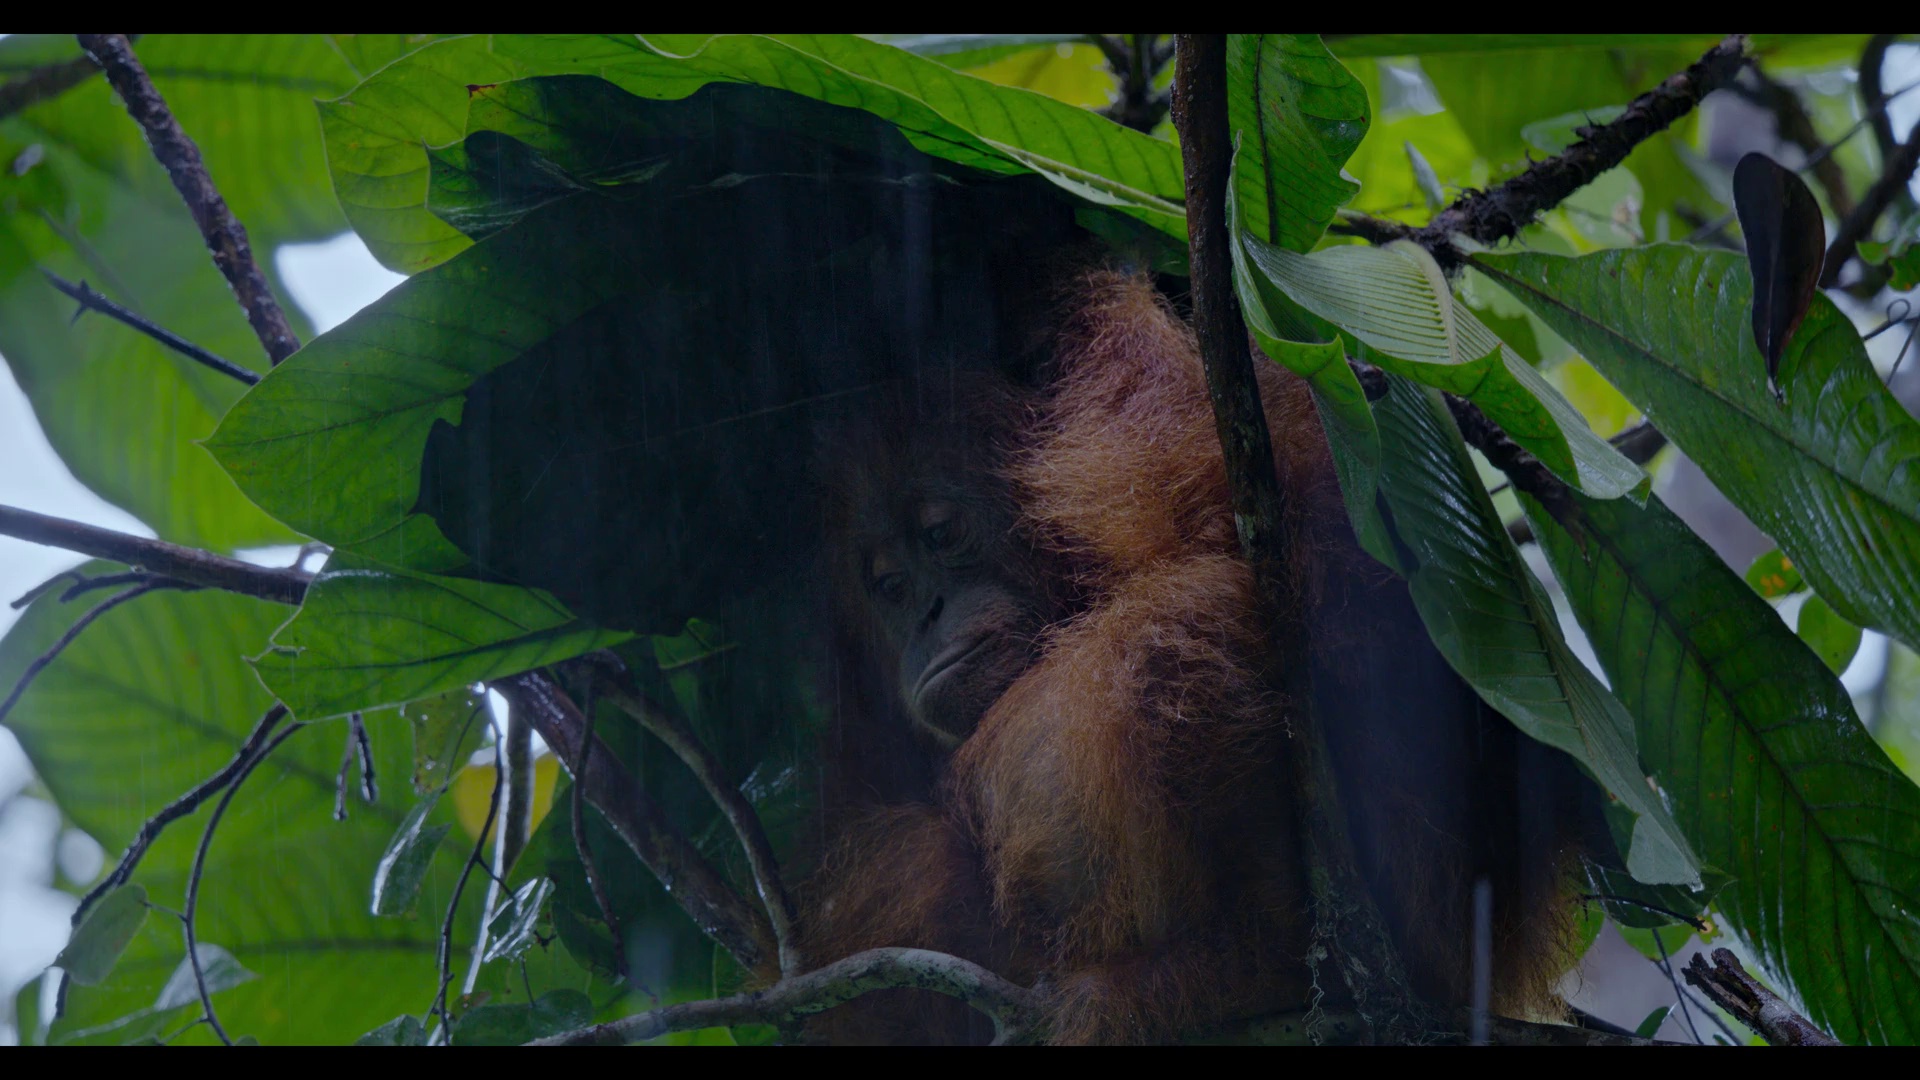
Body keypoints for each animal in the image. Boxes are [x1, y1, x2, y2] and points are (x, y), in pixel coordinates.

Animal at [796, 268, 1604, 1045]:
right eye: (890, 586)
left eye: (941, 534)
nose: (926, 613)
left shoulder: (1150, 408)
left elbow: (1252, 520)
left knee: (1169, 631)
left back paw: (1250, 965)